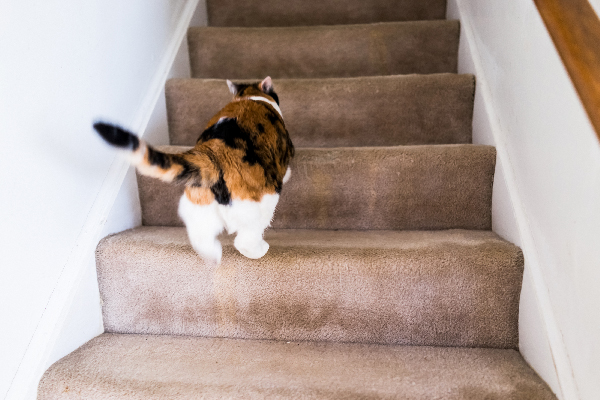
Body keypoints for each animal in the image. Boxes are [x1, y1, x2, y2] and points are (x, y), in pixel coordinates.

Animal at [93, 77, 296, 266]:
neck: (249, 96)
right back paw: (258, 250)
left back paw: (212, 256)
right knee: (246, 238)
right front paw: (288, 175)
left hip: (197, 203)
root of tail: (213, 152)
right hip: (261, 200)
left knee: (200, 232)